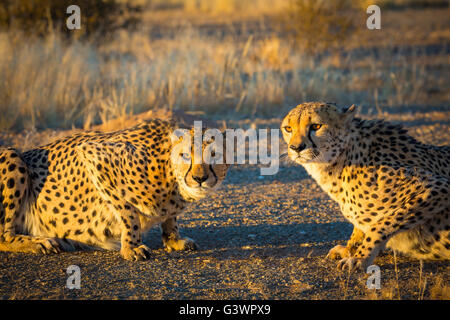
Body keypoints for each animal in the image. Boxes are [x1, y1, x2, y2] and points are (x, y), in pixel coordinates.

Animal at [0, 119, 230, 260]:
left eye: (214, 154)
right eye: (185, 155)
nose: (199, 178)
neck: (168, 172)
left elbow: (169, 217)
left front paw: (173, 239)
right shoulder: (94, 156)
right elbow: (128, 213)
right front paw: (131, 247)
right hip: (12, 156)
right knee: (4, 236)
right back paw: (40, 242)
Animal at [282, 102, 450, 270]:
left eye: (316, 126)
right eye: (288, 128)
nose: (296, 148)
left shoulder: (439, 186)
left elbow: (381, 224)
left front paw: (360, 257)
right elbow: (361, 228)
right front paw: (349, 250)